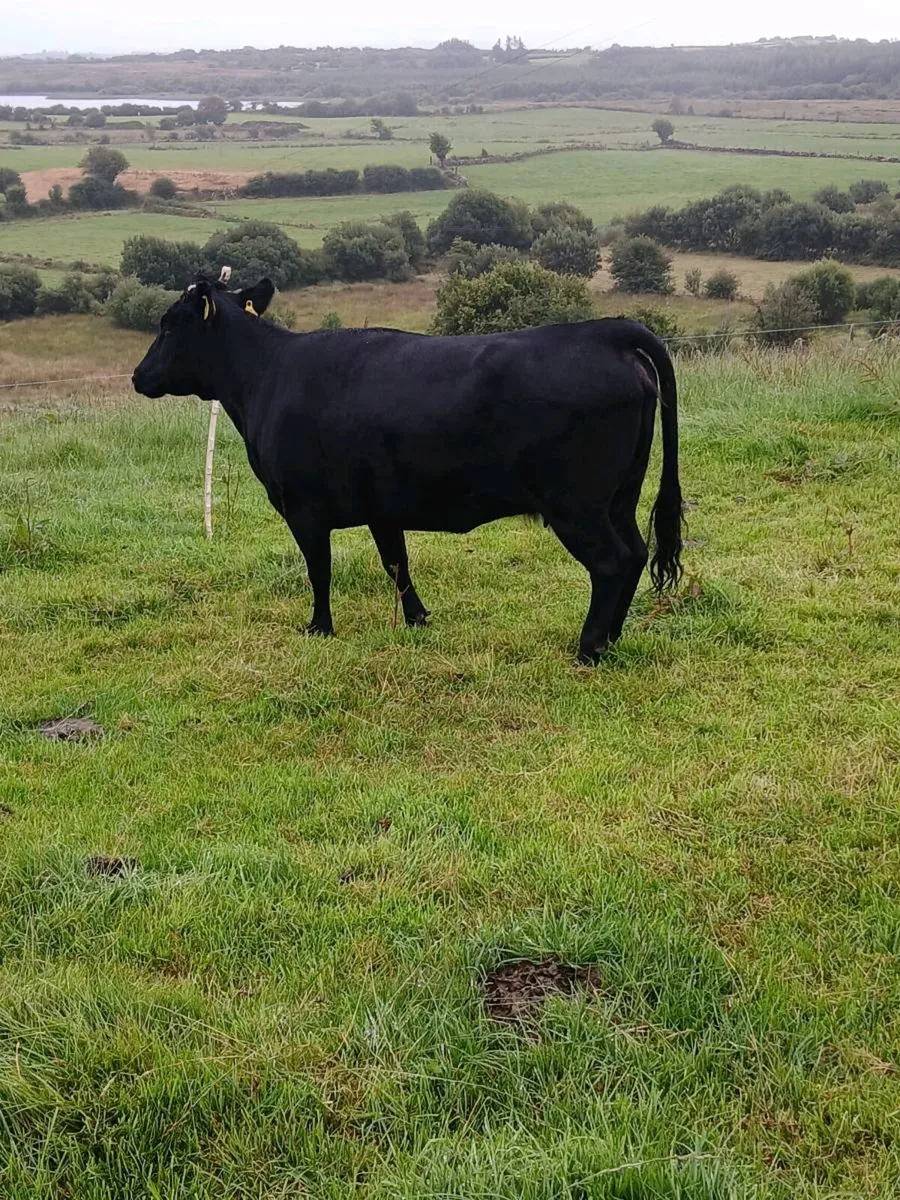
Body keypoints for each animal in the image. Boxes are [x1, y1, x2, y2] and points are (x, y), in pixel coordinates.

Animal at [132, 276, 683, 664]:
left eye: (167, 324)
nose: (138, 375)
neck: (266, 375)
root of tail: (606, 331)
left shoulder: (303, 507)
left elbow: (319, 570)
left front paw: (319, 628)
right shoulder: (382, 506)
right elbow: (396, 563)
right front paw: (418, 619)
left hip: (577, 505)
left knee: (612, 562)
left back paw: (589, 649)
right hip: (620, 497)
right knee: (636, 553)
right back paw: (612, 637)